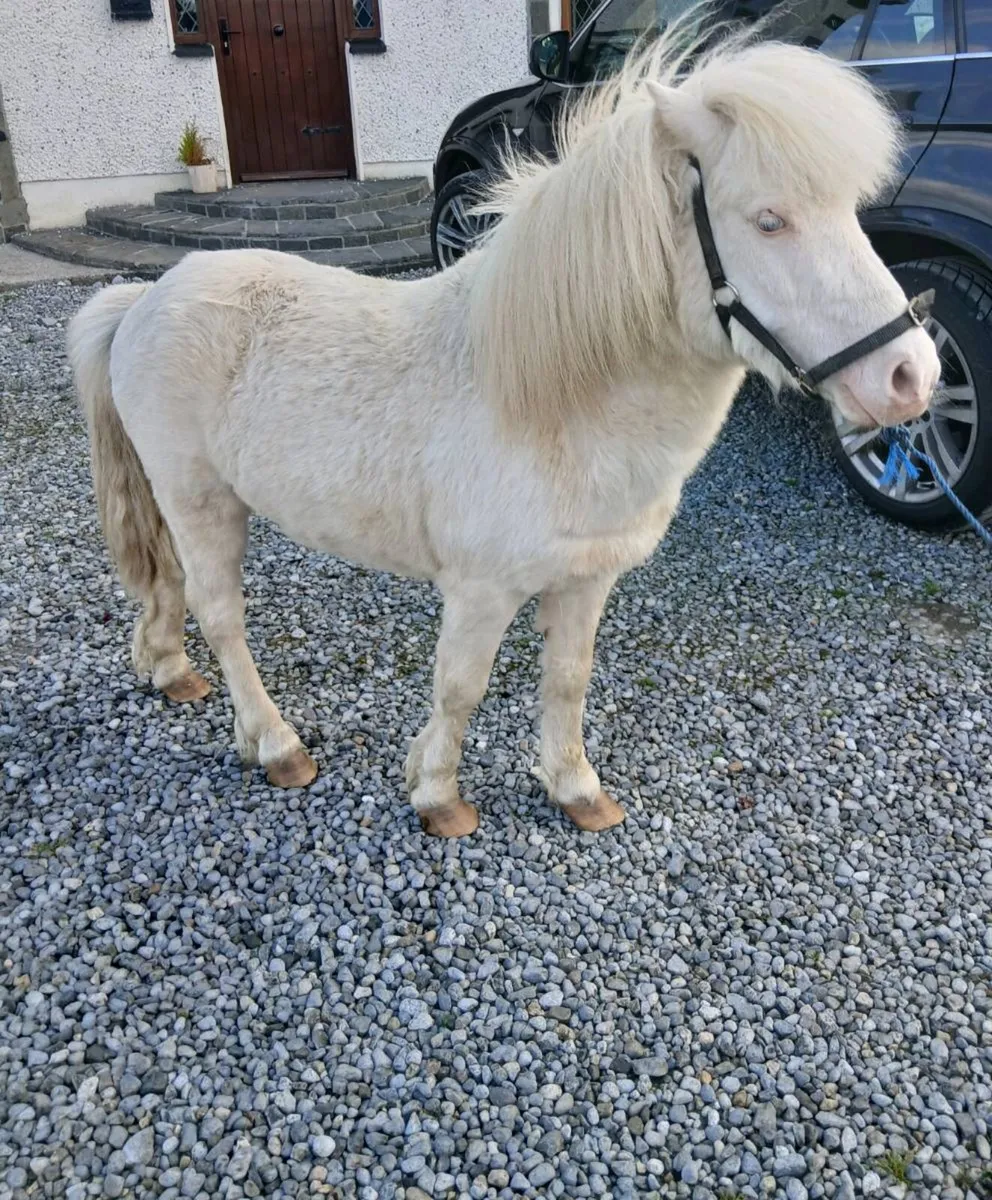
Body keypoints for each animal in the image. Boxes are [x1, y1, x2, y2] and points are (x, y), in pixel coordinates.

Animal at [68, 26, 939, 838]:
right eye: (768, 220)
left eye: (849, 213)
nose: (912, 376)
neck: (552, 400)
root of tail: (145, 298)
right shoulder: (479, 590)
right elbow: (461, 687)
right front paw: (438, 796)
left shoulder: (586, 579)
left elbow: (568, 678)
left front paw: (575, 788)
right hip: (202, 498)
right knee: (221, 612)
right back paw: (277, 744)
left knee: (169, 582)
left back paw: (168, 669)